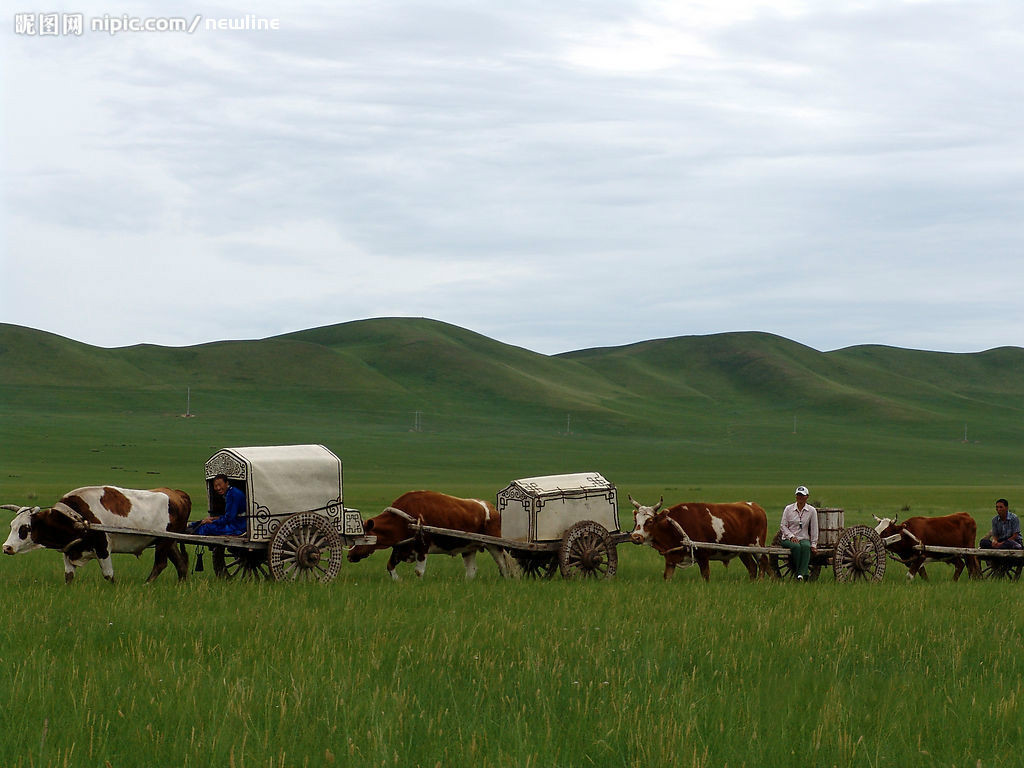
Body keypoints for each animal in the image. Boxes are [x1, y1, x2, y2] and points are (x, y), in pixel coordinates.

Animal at [348, 493, 512, 581]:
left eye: (363, 537)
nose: (349, 556)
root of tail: (491, 508)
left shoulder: (422, 547)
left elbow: (419, 571)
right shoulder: (400, 547)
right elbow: (390, 566)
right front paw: (398, 580)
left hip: (494, 545)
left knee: (502, 564)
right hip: (468, 548)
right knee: (471, 570)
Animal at [622, 495, 770, 581]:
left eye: (650, 521)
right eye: (635, 520)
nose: (636, 537)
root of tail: (756, 507)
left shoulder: (703, 557)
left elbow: (705, 576)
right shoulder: (670, 559)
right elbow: (667, 577)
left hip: (757, 546)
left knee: (763, 562)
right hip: (743, 551)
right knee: (752, 567)